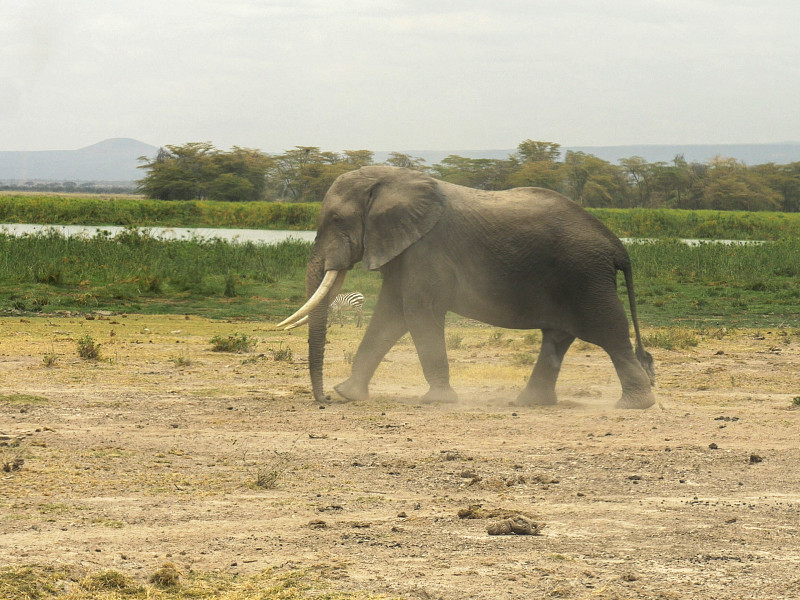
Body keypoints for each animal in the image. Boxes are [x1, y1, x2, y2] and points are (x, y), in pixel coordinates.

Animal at [282, 166, 656, 410]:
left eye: (336, 220)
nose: (324, 400)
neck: (393, 179)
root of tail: (616, 245)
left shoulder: (426, 249)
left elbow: (417, 314)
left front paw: (437, 401)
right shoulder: (404, 250)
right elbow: (389, 317)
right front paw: (348, 393)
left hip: (586, 278)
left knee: (609, 332)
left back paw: (634, 404)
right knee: (558, 337)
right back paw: (529, 403)